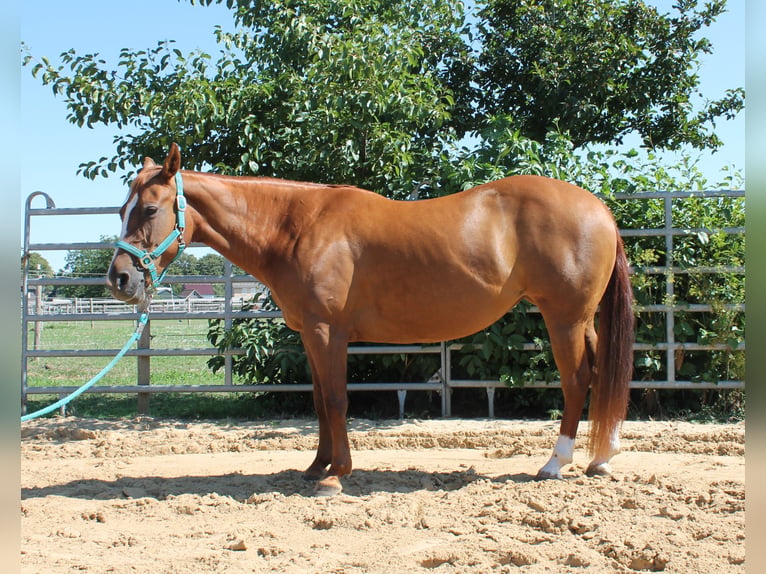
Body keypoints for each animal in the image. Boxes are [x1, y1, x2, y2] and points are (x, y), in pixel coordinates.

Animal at [107, 143, 634, 496]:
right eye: (121, 209)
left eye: (150, 209)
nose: (119, 279)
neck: (296, 227)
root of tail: (599, 209)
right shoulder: (311, 335)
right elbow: (319, 403)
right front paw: (315, 468)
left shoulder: (329, 333)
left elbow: (337, 401)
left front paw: (336, 477)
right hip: (582, 321)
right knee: (598, 377)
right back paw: (601, 460)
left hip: (563, 318)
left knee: (577, 380)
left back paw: (555, 463)